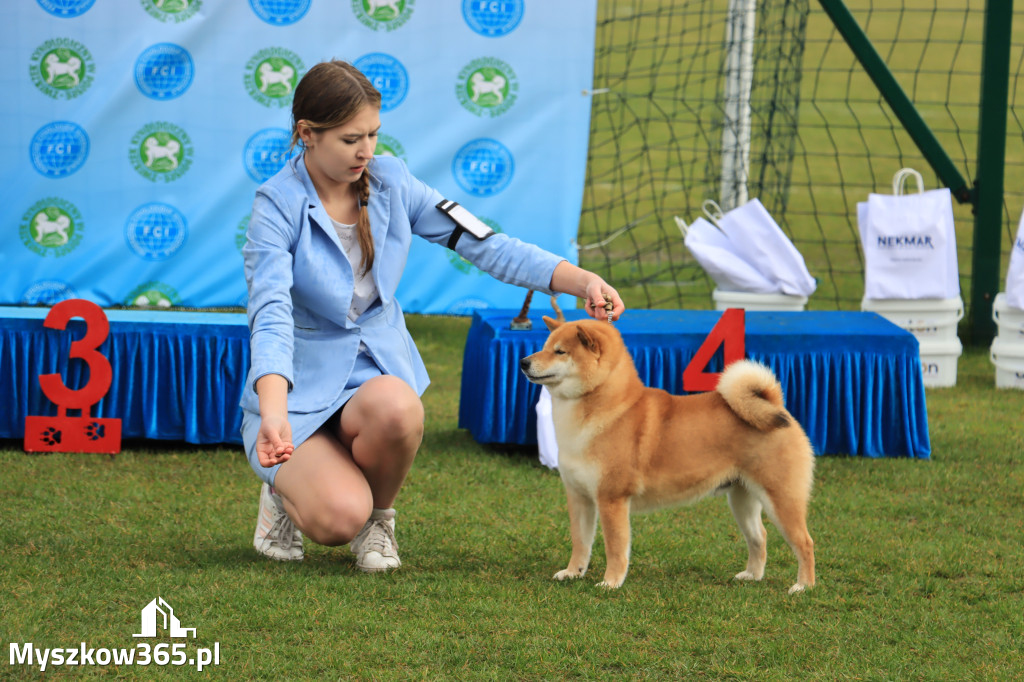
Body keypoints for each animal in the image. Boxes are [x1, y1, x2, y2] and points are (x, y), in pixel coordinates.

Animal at [520, 317, 815, 589]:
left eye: (560, 351)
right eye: (544, 347)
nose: (523, 362)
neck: (605, 408)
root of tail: (776, 406)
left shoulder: (612, 498)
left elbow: (615, 547)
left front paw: (610, 582)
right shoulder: (579, 496)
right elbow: (580, 542)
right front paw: (573, 572)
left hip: (781, 498)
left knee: (805, 542)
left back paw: (803, 586)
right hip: (742, 499)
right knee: (759, 537)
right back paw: (752, 575)